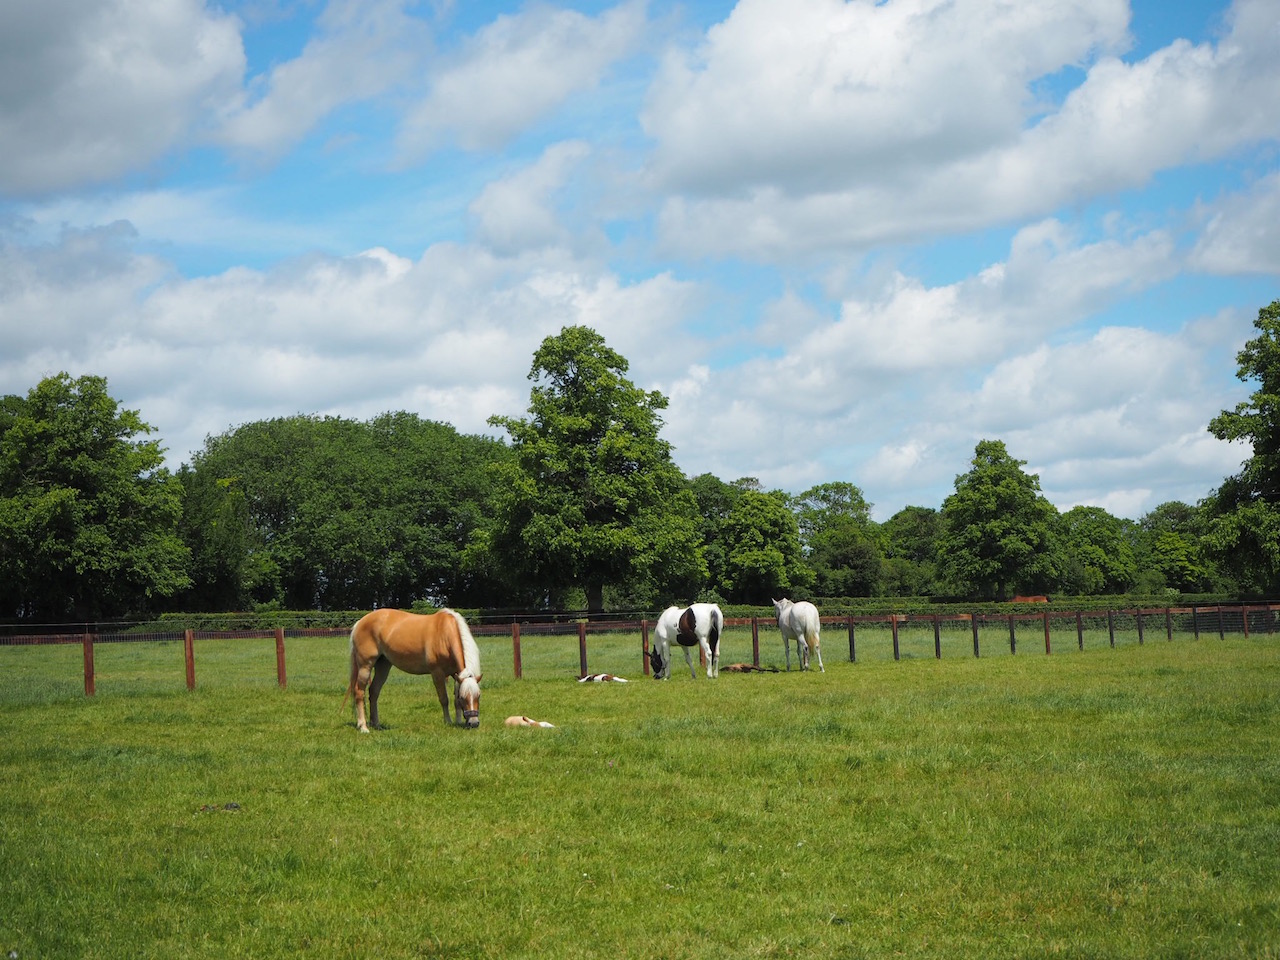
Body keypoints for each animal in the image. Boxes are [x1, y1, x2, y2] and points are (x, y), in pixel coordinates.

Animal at [348, 611, 481, 732]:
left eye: (478, 696)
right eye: (464, 697)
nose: (474, 723)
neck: (444, 634)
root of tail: (360, 622)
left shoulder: (456, 674)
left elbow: (455, 700)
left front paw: (458, 721)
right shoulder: (437, 673)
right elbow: (444, 699)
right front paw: (448, 721)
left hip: (383, 666)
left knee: (374, 692)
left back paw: (376, 724)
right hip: (365, 666)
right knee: (359, 693)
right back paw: (363, 727)